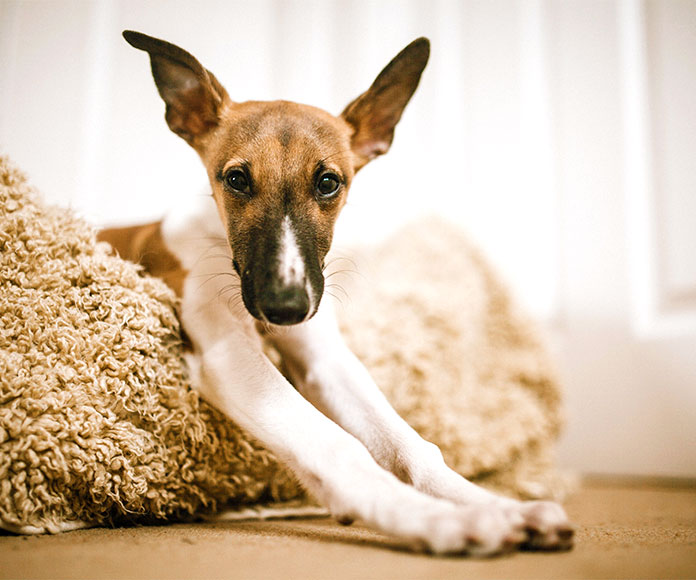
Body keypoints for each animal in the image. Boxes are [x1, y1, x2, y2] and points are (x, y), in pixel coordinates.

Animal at [99, 29, 576, 556]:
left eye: (328, 182)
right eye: (236, 179)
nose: (285, 309)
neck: (216, 239)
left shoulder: (325, 358)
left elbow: (411, 444)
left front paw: (492, 503)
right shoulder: (227, 354)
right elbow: (338, 446)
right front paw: (438, 519)